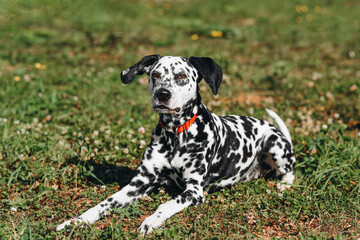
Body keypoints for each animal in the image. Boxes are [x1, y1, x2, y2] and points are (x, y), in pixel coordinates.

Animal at [57, 54, 296, 234]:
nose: (162, 94)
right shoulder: (139, 183)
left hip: (274, 143)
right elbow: (105, 203)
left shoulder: (194, 190)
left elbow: (166, 204)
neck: (175, 136)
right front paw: (76, 221)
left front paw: (151, 220)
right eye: (155, 74)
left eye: (181, 75)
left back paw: (284, 184)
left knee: (290, 172)